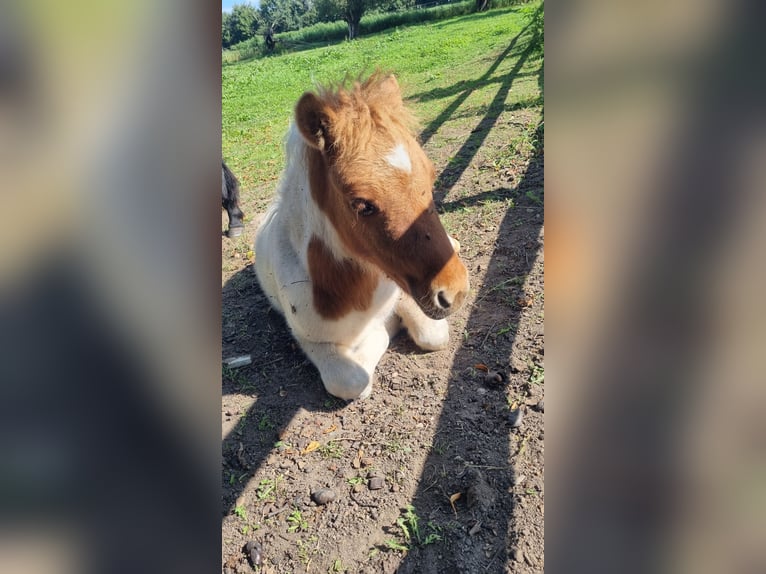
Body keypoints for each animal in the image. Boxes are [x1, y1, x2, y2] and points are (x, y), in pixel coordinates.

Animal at [255, 73, 468, 400]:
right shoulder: (310, 340)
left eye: (432, 176)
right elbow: (353, 380)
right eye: (362, 204)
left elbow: (433, 334)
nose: (454, 292)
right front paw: (384, 329)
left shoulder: (401, 287)